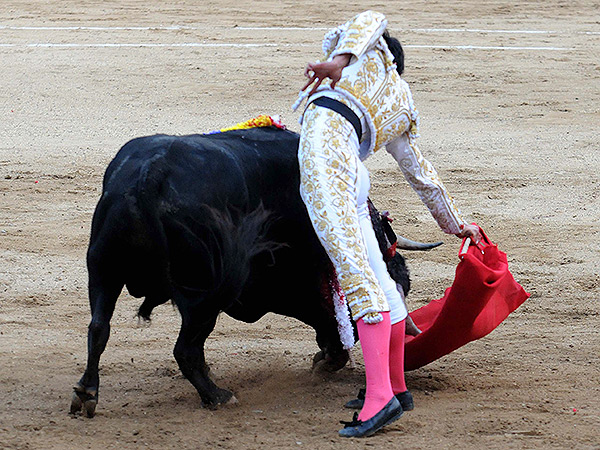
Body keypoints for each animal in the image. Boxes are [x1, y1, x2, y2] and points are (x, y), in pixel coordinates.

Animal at [71, 125, 426, 416]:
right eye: (401, 282)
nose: (408, 329)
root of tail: (150, 175)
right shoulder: (285, 283)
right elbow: (324, 316)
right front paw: (327, 360)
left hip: (102, 270)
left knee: (99, 328)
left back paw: (86, 393)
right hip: (205, 295)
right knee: (185, 349)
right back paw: (218, 396)